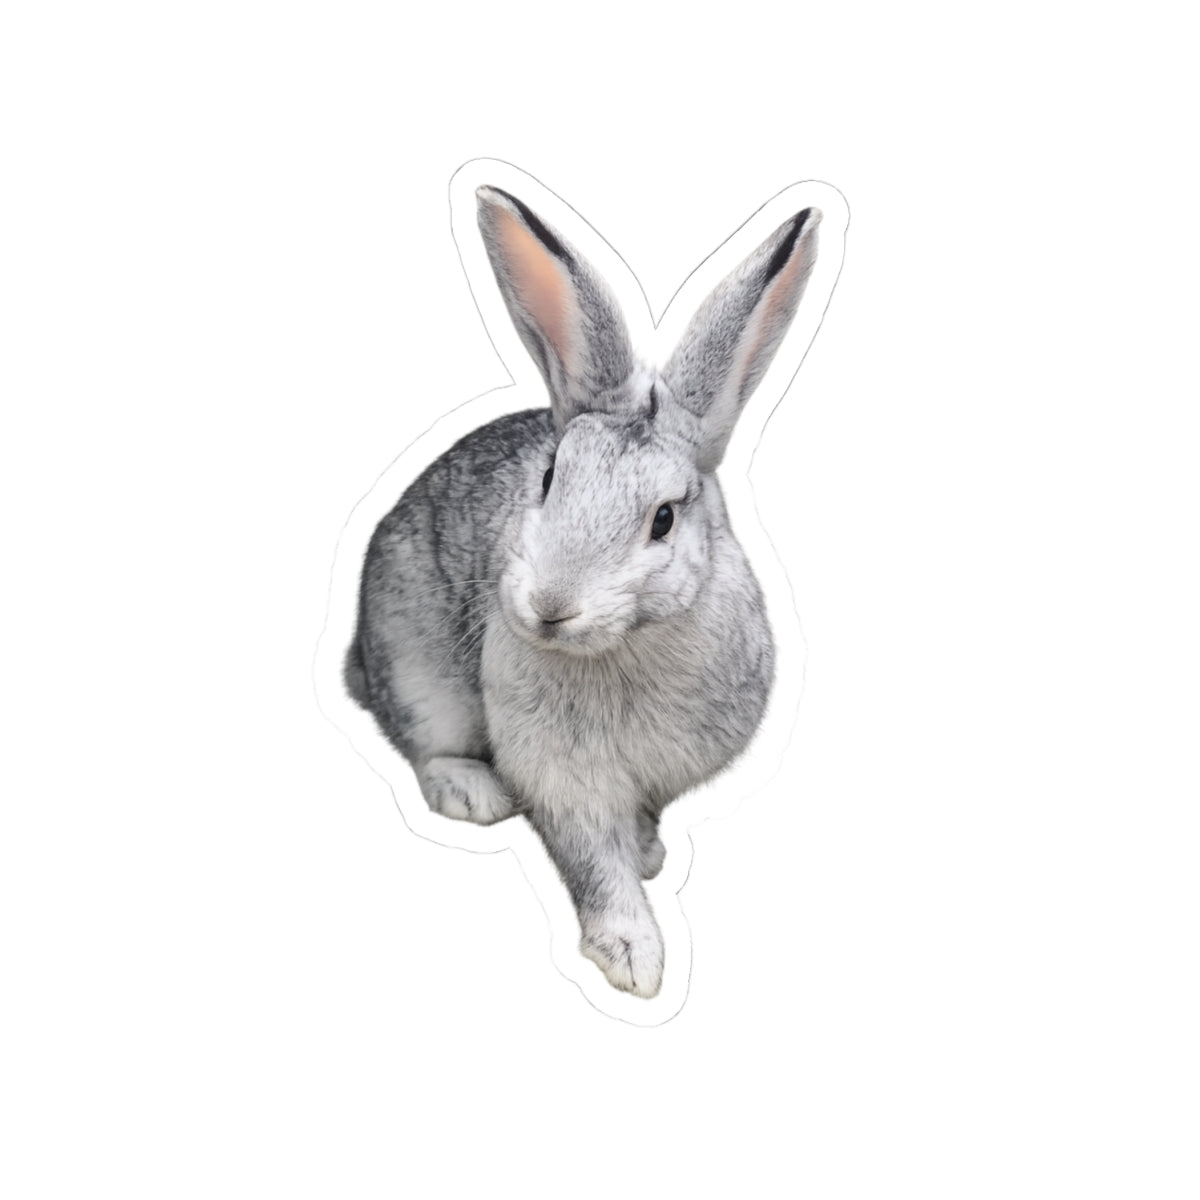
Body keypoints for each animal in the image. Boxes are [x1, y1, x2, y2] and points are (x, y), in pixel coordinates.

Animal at [346, 185, 821, 998]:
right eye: (548, 479)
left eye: (663, 519)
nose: (549, 607)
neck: (627, 648)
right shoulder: (563, 777)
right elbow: (594, 862)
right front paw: (635, 959)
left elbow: (634, 830)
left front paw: (650, 855)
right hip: (416, 669)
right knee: (421, 742)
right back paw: (471, 792)